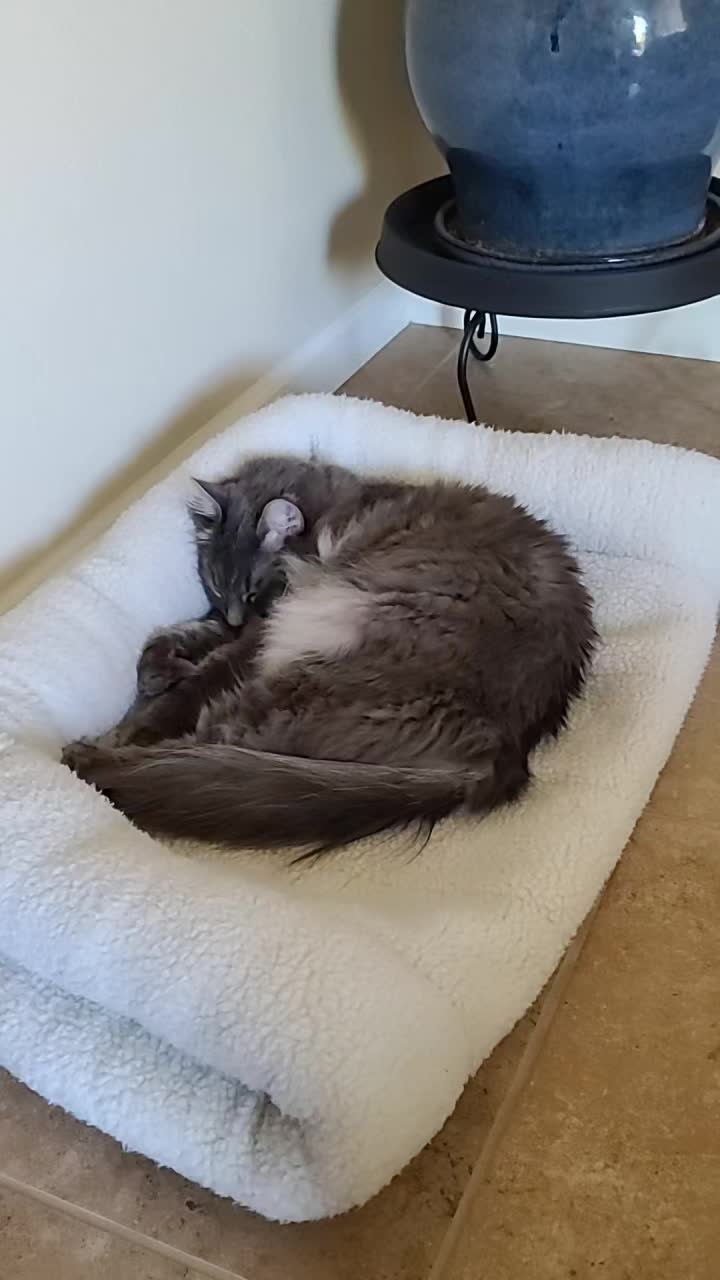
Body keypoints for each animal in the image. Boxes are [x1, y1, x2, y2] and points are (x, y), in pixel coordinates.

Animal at [63, 454, 596, 853]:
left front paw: (143, 713)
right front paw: (159, 669)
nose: (235, 615)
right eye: (215, 583)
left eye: (253, 588)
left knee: (208, 737)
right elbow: (177, 637)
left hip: (319, 649)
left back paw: (94, 752)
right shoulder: (242, 624)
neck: (337, 509)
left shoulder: (265, 627)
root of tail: (502, 751)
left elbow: (197, 680)